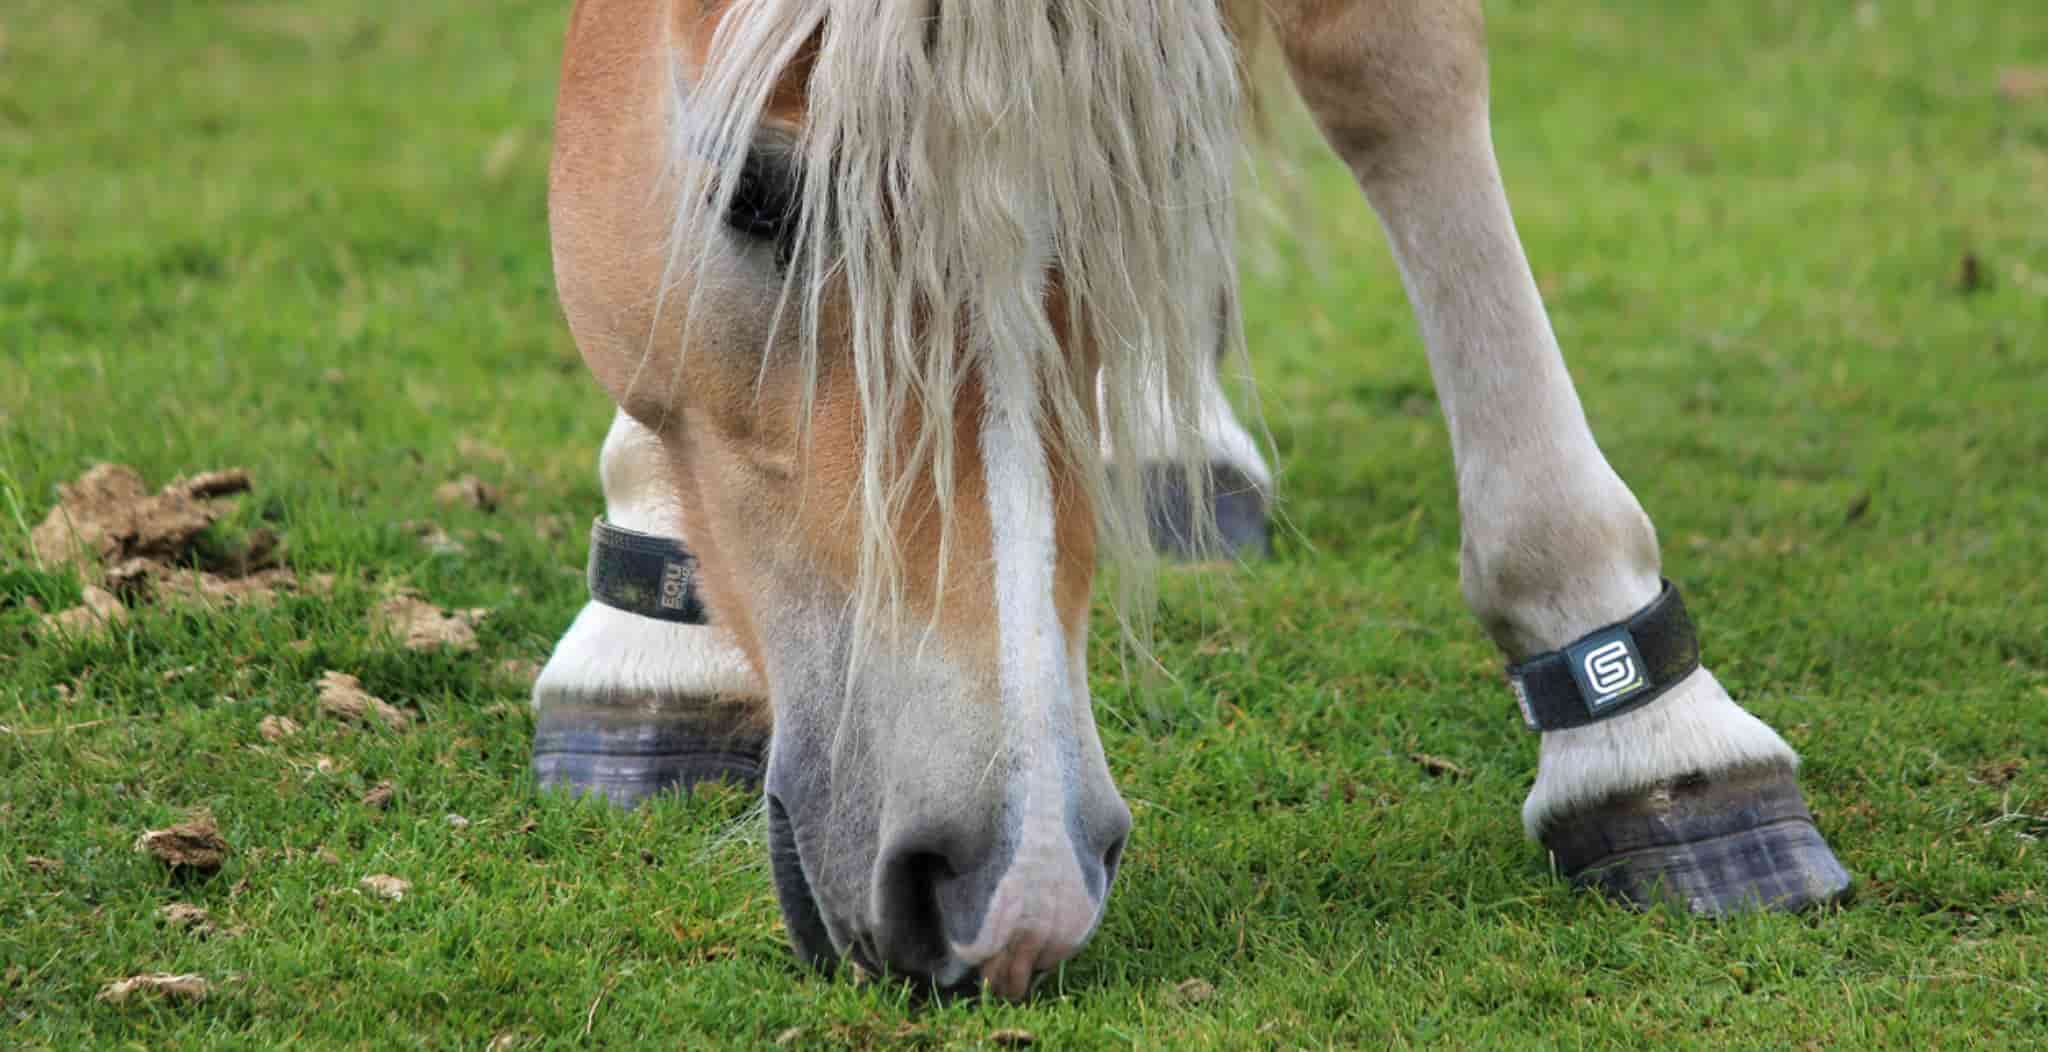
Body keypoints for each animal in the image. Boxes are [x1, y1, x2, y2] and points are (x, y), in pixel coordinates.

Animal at [529, 0, 1851, 999]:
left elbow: (1391, 64)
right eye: (757, 196)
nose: (1013, 887)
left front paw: (1645, 719)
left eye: (1112, 197)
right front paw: (649, 606)